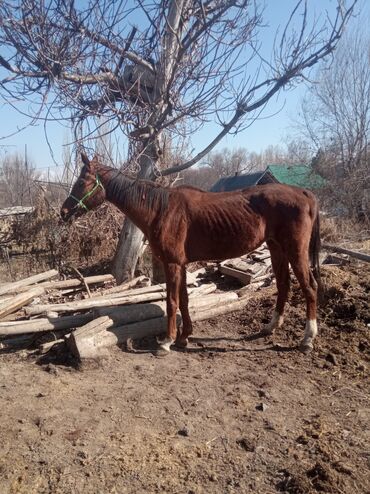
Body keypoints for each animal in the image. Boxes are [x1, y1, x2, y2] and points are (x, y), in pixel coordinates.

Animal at [61, 153, 320, 356]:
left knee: (309, 287)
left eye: (83, 181)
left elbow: (171, 301)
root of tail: (305, 193)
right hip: (277, 249)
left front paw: (166, 342)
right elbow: (184, 299)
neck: (161, 209)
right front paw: (184, 337)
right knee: (284, 285)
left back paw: (307, 339)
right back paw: (270, 327)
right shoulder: (182, 264)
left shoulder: (173, 264)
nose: (63, 212)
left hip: (295, 251)